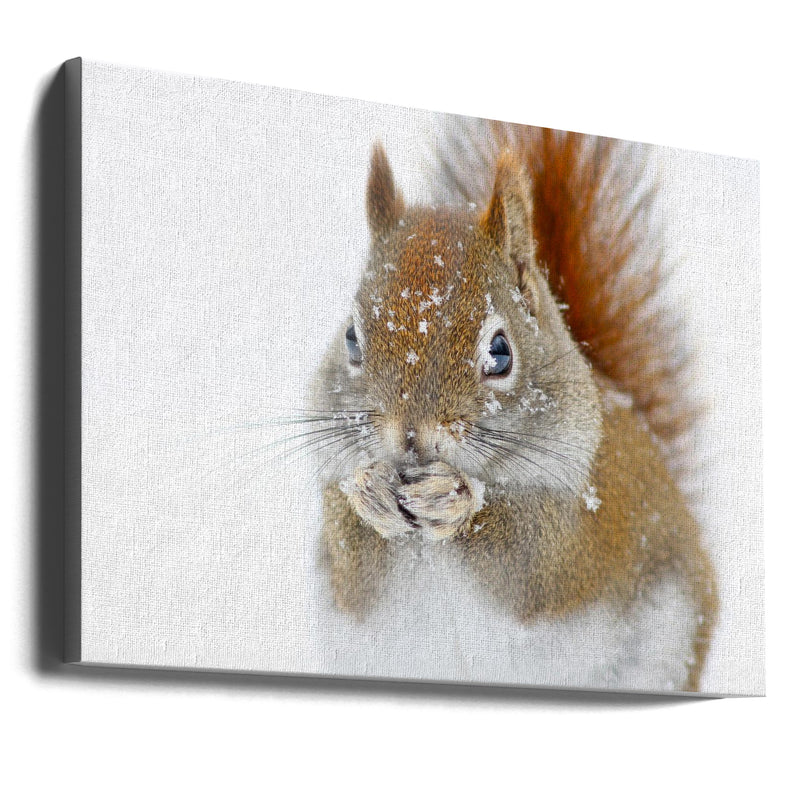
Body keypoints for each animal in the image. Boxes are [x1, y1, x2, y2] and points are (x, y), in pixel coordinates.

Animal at [309, 122, 718, 693]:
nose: (410, 436)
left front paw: (456, 498)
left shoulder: (577, 533)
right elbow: (353, 567)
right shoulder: (345, 571)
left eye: (500, 352)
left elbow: (529, 565)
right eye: (350, 339)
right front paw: (368, 490)